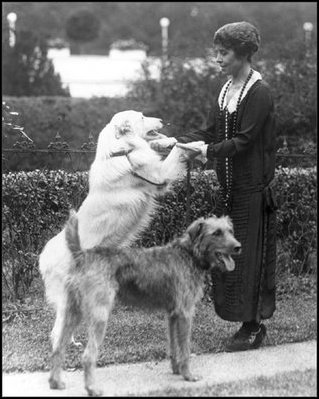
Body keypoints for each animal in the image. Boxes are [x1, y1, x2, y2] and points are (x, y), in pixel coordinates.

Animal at [40, 111, 204, 352]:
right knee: (56, 328)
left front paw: (173, 141)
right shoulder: (159, 175)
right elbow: (176, 152)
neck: (122, 151)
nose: (161, 120)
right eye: (142, 116)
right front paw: (194, 145)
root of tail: (43, 259)